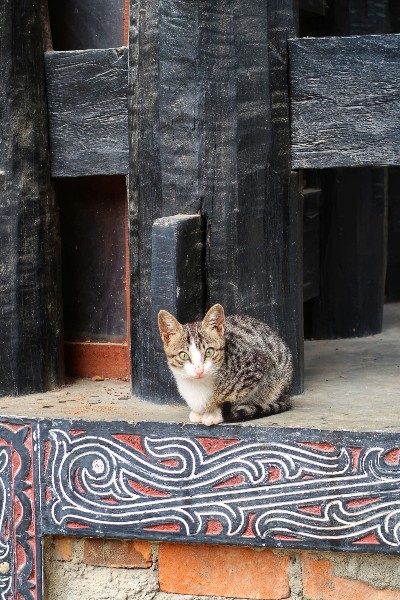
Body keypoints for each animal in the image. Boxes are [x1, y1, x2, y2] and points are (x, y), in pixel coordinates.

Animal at [158, 303, 293, 426]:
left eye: (209, 351)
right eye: (183, 355)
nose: (199, 370)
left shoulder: (256, 364)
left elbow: (237, 397)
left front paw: (214, 413)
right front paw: (199, 412)